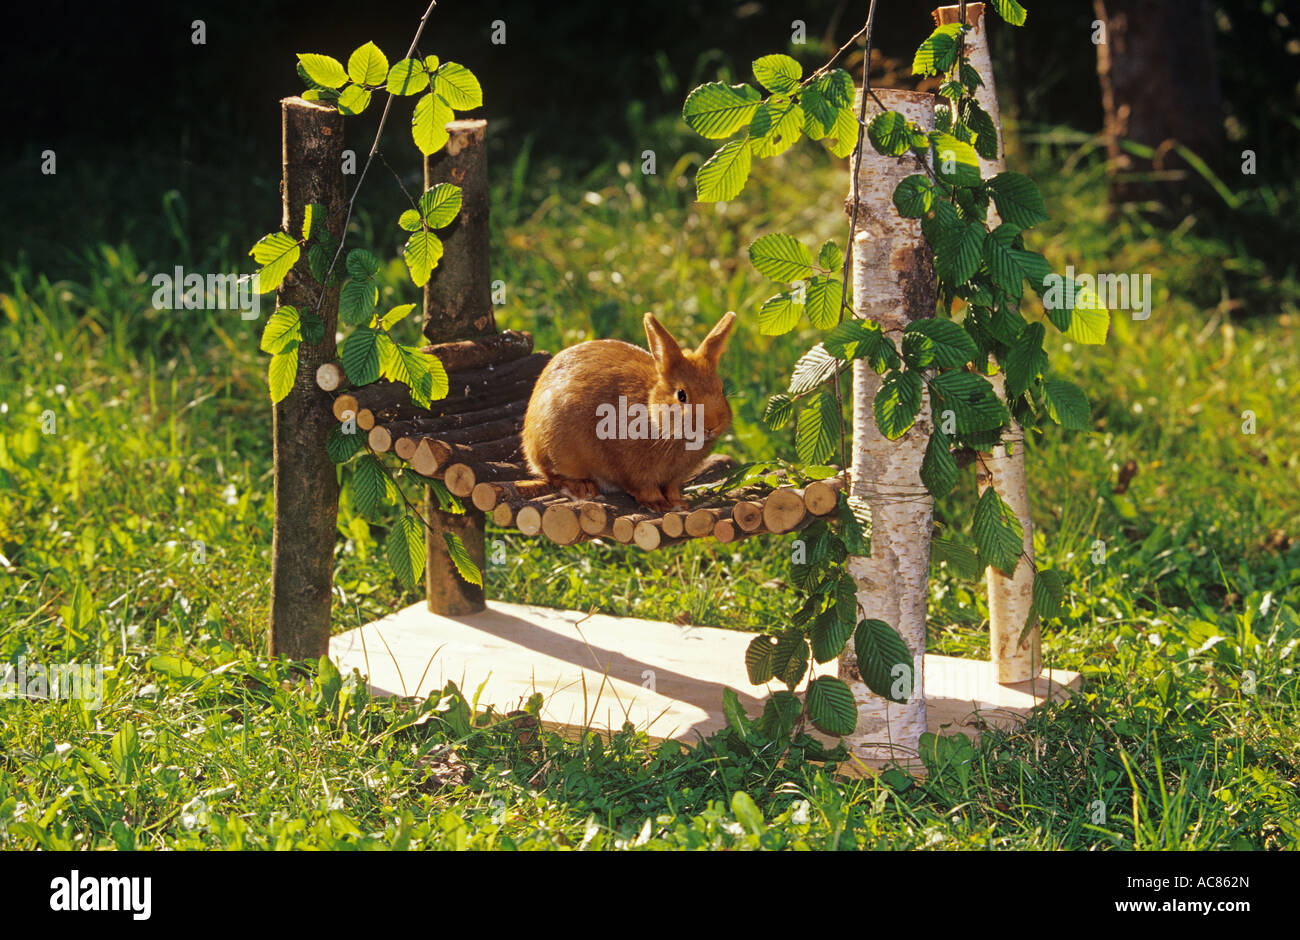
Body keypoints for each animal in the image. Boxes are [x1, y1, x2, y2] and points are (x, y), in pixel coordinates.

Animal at [523, 311, 736, 511]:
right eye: (681, 395)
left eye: (721, 389)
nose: (711, 425)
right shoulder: (633, 469)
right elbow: (644, 487)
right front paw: (658, 504)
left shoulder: (674, 478)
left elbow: (672, 488)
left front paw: (678, 504)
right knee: (552, 475)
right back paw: (582, 488)